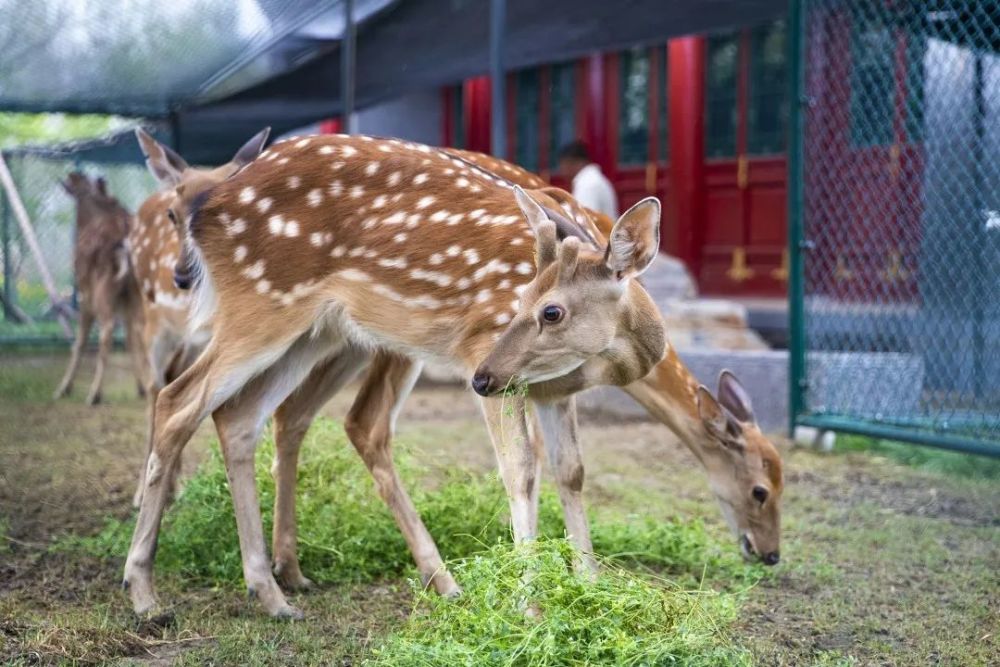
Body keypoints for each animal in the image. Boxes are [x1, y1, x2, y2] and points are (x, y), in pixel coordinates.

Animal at [54, 172, 146, 404]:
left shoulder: (84, 295)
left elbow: (79, 341)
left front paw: (63, 388)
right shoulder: (126, 302)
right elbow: (131, 339)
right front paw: (140, 387)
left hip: (102, 290)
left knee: (107, 330)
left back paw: (94, 393)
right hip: (137, 293)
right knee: (141, 332)